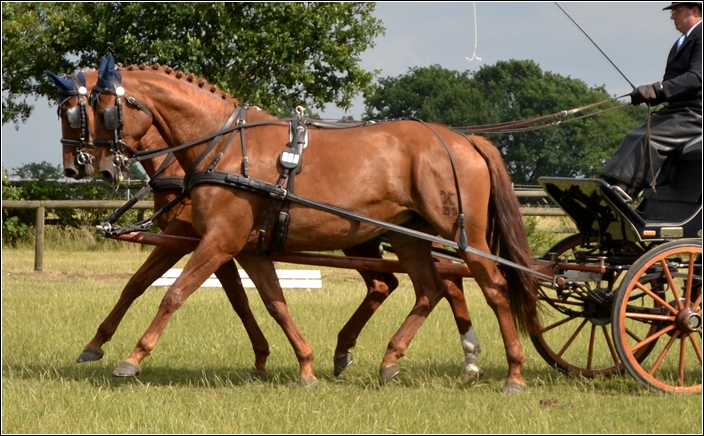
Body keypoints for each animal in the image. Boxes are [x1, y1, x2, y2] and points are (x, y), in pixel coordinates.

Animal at [91, 58, 536, 392]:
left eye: (100, 110)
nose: (95, 167)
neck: (223, 146)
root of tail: (464, 139)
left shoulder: (211, 240)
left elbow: (173, 293)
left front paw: (131, 358)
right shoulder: (241, 246)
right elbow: (268, 301)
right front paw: (293, 365)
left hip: (463, 234)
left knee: (492, 286)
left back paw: (512, 372)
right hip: (406, 236)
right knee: (430, 287)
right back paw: (391, 358)